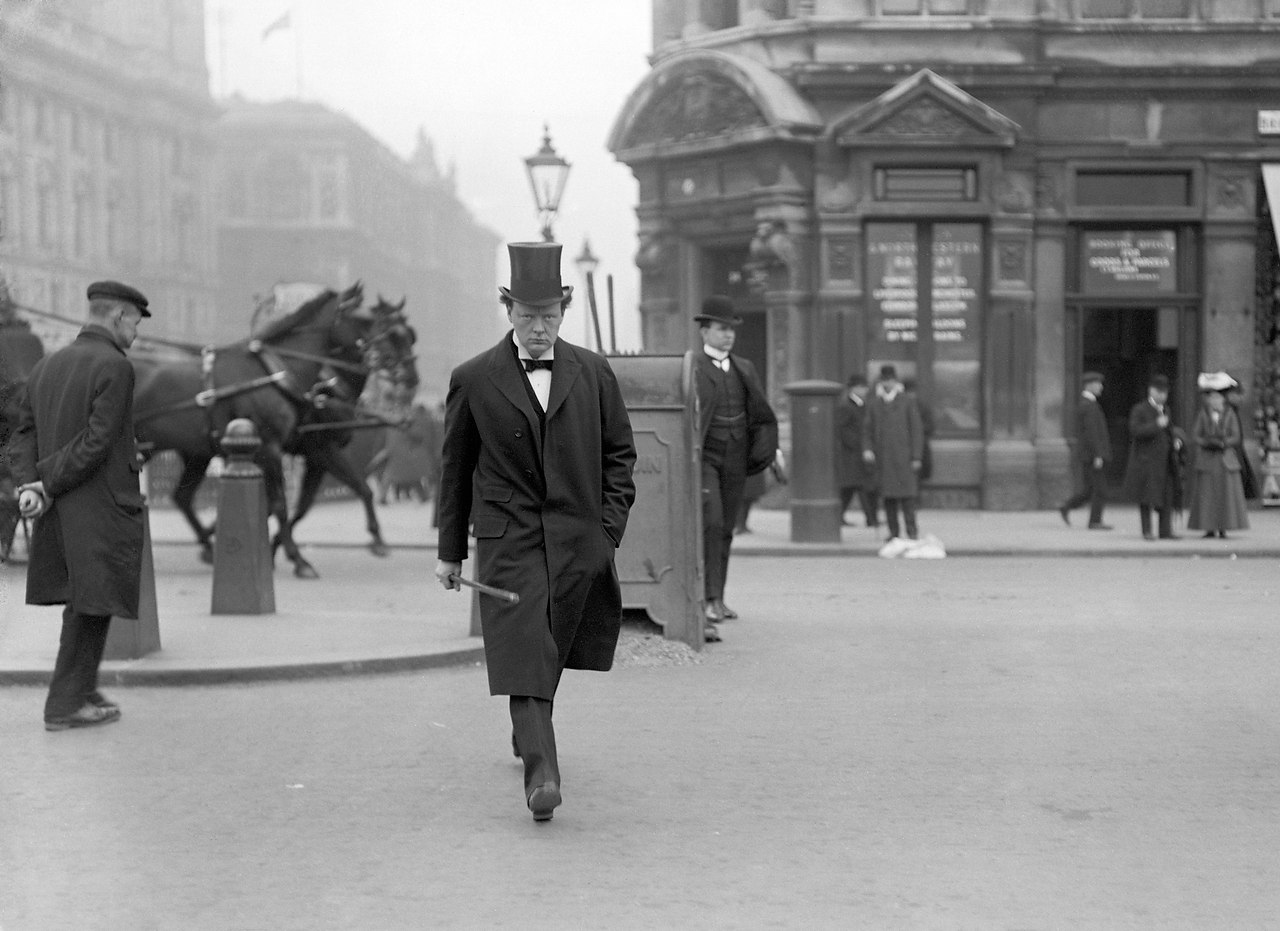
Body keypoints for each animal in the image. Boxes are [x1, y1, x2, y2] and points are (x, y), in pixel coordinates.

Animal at [131, 280, 371, 578]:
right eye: (361, 319)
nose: (371, 357)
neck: (273, 372)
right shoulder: (271, 447)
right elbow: (279, 504)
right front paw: (298, 559)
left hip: (185, 451)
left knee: (182, 496)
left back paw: (208, 546)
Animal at [279, 294, 419, 558]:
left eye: (411, 335)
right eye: (393, 335)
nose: (412, 378)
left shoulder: (316, 459)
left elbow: (302, 508)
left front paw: (280, 544)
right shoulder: (323, 451)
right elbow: (363, 489)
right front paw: (376, 537)